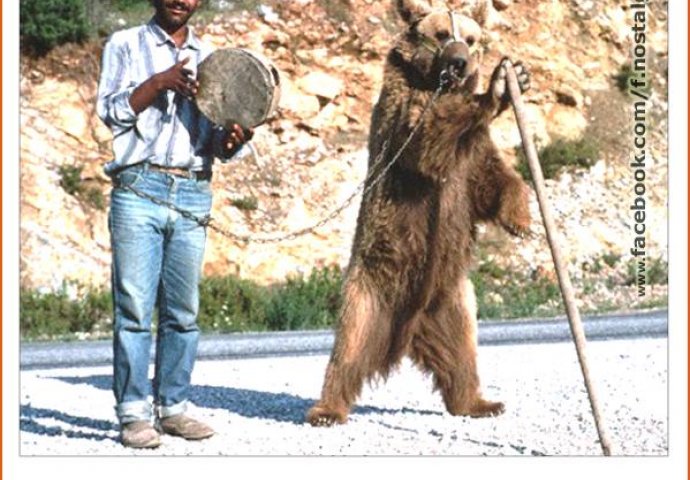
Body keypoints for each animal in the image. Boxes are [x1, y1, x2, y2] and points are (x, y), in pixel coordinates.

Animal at [304, 0, 528, 428]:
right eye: (440, 34)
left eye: (470, 37)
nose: (459, 62)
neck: (436, 85)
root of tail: (409, 329)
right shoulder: (402, 113)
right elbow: (427, 142)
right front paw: (495, 90)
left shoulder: (472, 156)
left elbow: (491, 178)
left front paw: (521, 219)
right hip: (371, 287)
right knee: (349, 346)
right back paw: (326, 409)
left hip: (452, 299)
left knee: (463, 352)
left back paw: (479, 403)